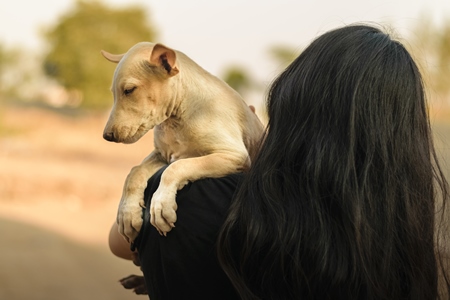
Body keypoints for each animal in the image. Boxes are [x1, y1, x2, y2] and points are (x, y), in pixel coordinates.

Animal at [102, 41, 264, 241]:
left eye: (129, 90)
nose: (107, 136)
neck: (176, 118)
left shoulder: (234, 155)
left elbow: (176, 168)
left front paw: (161, 204)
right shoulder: (162, 155)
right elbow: (134, 172)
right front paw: (127, 214)